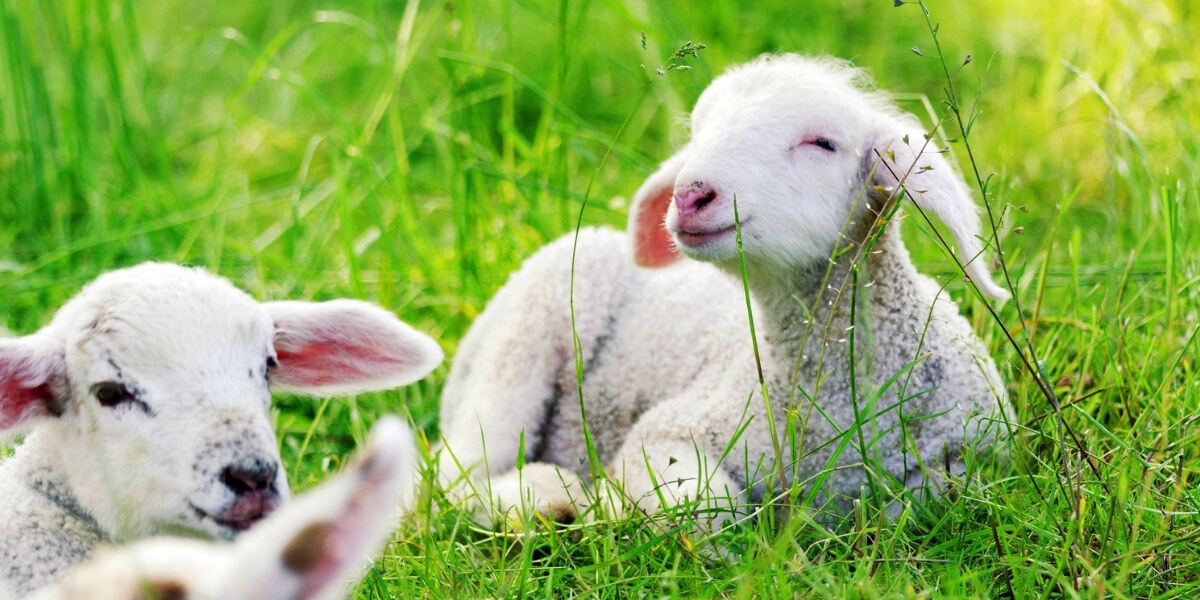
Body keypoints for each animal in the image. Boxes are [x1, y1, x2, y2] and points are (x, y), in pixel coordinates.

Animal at [436, 52, 1008, 530]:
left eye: (822, 143)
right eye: (699, 131)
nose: (691, 195)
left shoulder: (971, 459)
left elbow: (916, 506)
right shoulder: (673, 427)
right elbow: (706, 506)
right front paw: (618, 506)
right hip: (517, 348)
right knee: (450, 483)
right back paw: (550, 497)